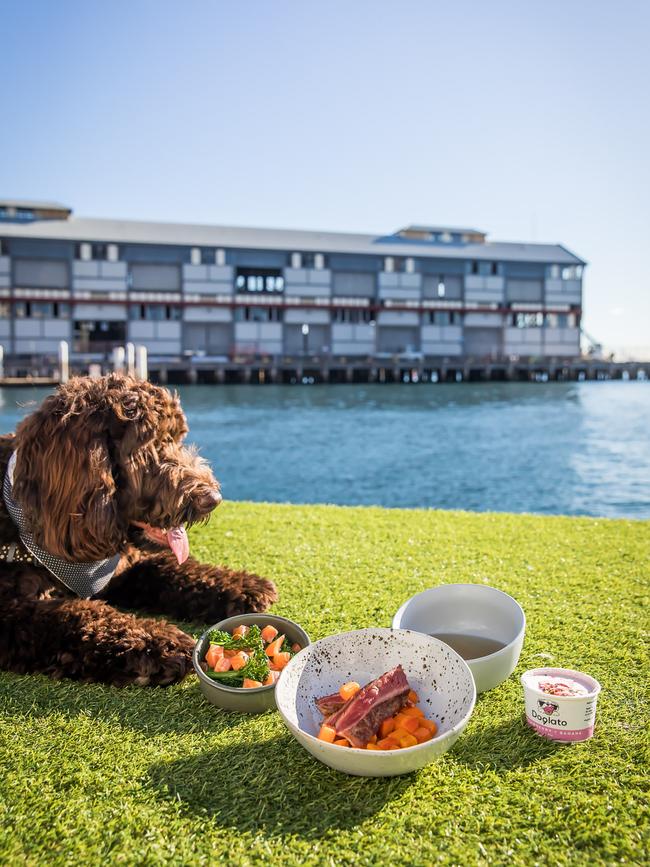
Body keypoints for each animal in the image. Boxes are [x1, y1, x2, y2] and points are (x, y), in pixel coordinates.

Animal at [0, 376, 276, 688]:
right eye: (150, 446)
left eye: (176, 438)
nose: (213, 499)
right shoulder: (10, 612)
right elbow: (75, 615)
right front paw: (154, 643)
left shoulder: (122, 568)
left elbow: (172, 569)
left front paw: (242, 585)